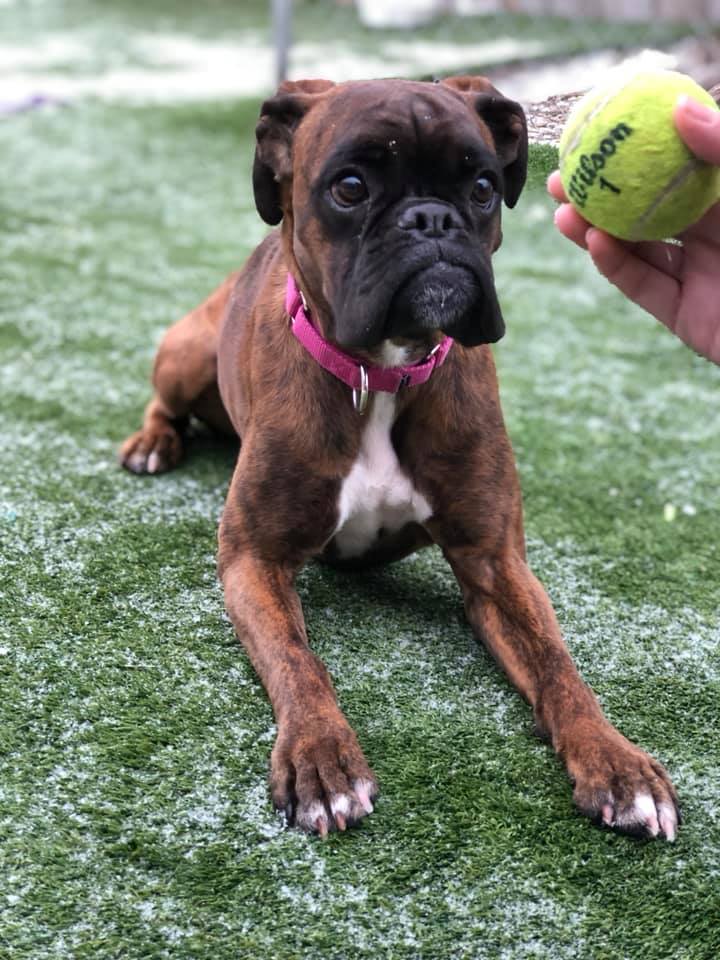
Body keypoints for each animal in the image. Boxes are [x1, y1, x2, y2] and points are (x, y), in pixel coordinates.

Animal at [122, 75, 680, 840]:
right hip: (186, 350)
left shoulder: (496, 565)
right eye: (350, 187)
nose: (431, 220)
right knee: (163, 399)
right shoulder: (252, 562)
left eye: (481, 187)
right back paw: (152, 442)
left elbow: (559, 667)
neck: (380, 376)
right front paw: (322, 758)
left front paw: (617, 762)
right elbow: (299, 661)